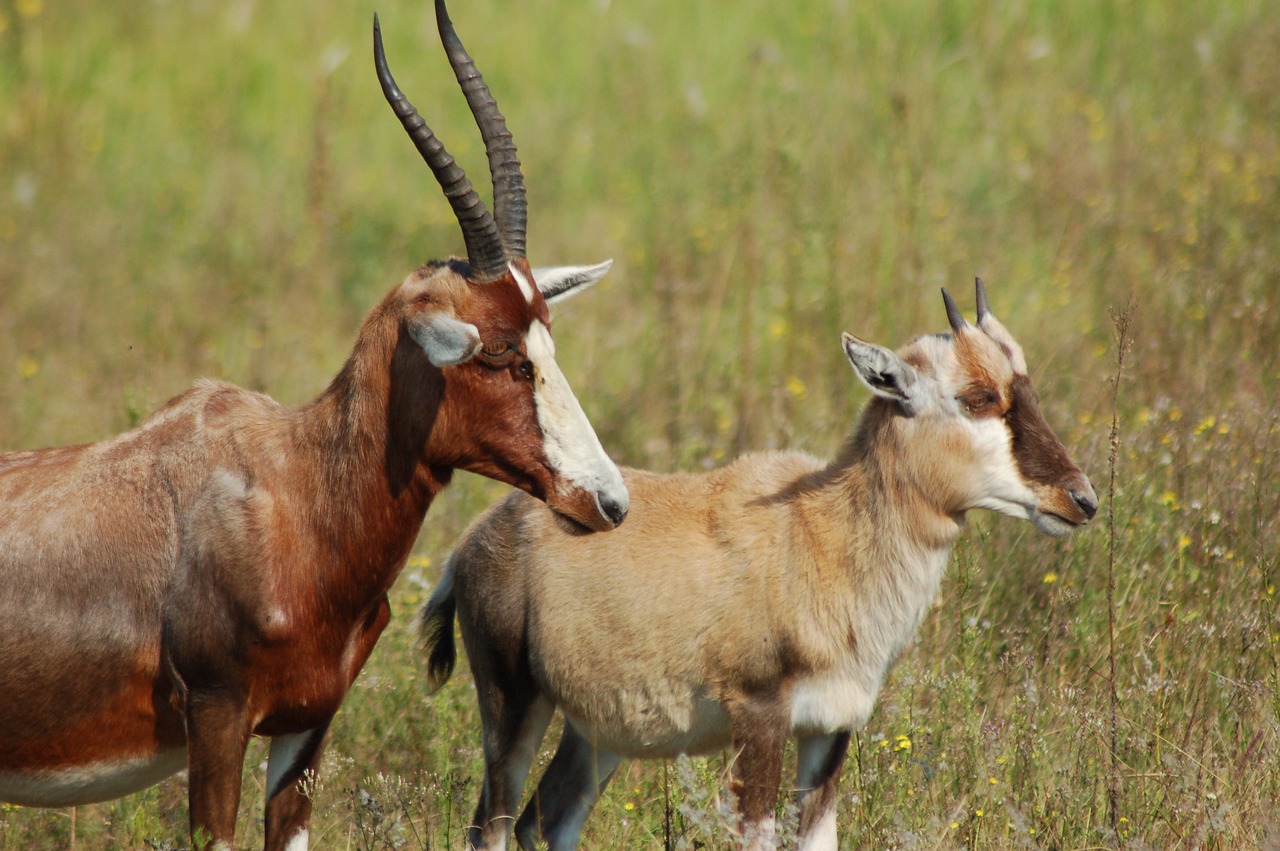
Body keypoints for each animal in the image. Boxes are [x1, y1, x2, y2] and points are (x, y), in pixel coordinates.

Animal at [0, 3, 629, 844]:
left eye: (547, 337)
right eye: (499, 351)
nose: (608, 499)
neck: (292, 488)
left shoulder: (306, 726)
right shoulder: (217, 718)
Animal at [422, 277, 1100, 844]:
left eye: (1027, 388)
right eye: (978, 397)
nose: (1081, 499)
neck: (819, 527)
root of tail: (476, 540)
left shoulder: (828, 732)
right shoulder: (760, 722)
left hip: (597, 734)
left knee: (548, 819)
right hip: (512, 709)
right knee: (492, 826)